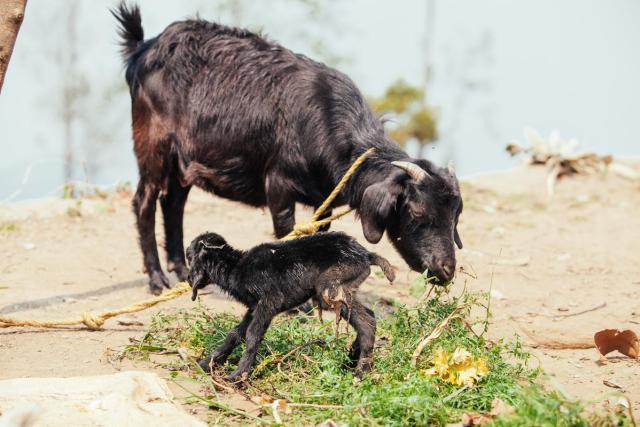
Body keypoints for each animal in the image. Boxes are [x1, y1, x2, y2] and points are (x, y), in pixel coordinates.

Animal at [114, 3, 464, 296]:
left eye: (454, 214)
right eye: (416, 212)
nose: (446, 270)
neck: (324, 122)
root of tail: (143, 48)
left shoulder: (324, 199)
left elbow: (319, 233)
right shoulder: (278, 184)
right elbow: (286, 231)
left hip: (184, 160)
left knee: (173, 202)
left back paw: (182, 272)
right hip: (152, 146)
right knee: (144, 201)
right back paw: (157, 279)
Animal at [185, 231, 396, 382]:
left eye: (189, 256)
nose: (187, 279)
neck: (236, 267)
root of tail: (366, 254)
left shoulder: (269, 302)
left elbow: (253, 334)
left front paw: (239, 375)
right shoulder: (253, 308)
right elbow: (236, 333)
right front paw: (207, 363)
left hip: (331, 288)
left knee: (366, 322)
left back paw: (360, 372)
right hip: (345, 288)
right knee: (368, 315)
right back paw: (351, 359)